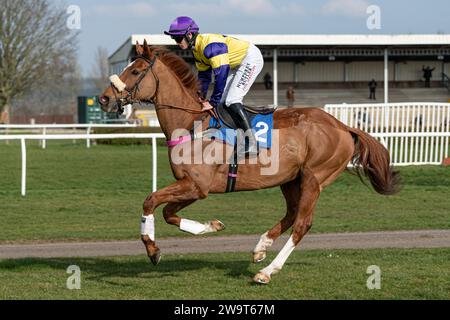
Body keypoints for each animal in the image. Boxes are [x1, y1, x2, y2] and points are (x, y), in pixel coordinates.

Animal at [99, 40, 400, 284]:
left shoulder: (197, 186)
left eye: (135, 71)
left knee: (302, 223)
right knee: (292, 214)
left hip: (315, 178)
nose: (104, 98)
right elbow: (168, 213)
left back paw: (266, 271)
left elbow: (150, 201)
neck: (193, 124)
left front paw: (152, 250)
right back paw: (260, 248)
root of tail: (343, 126)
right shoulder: (193, 187)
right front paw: (211, 226)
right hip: (291, 179)